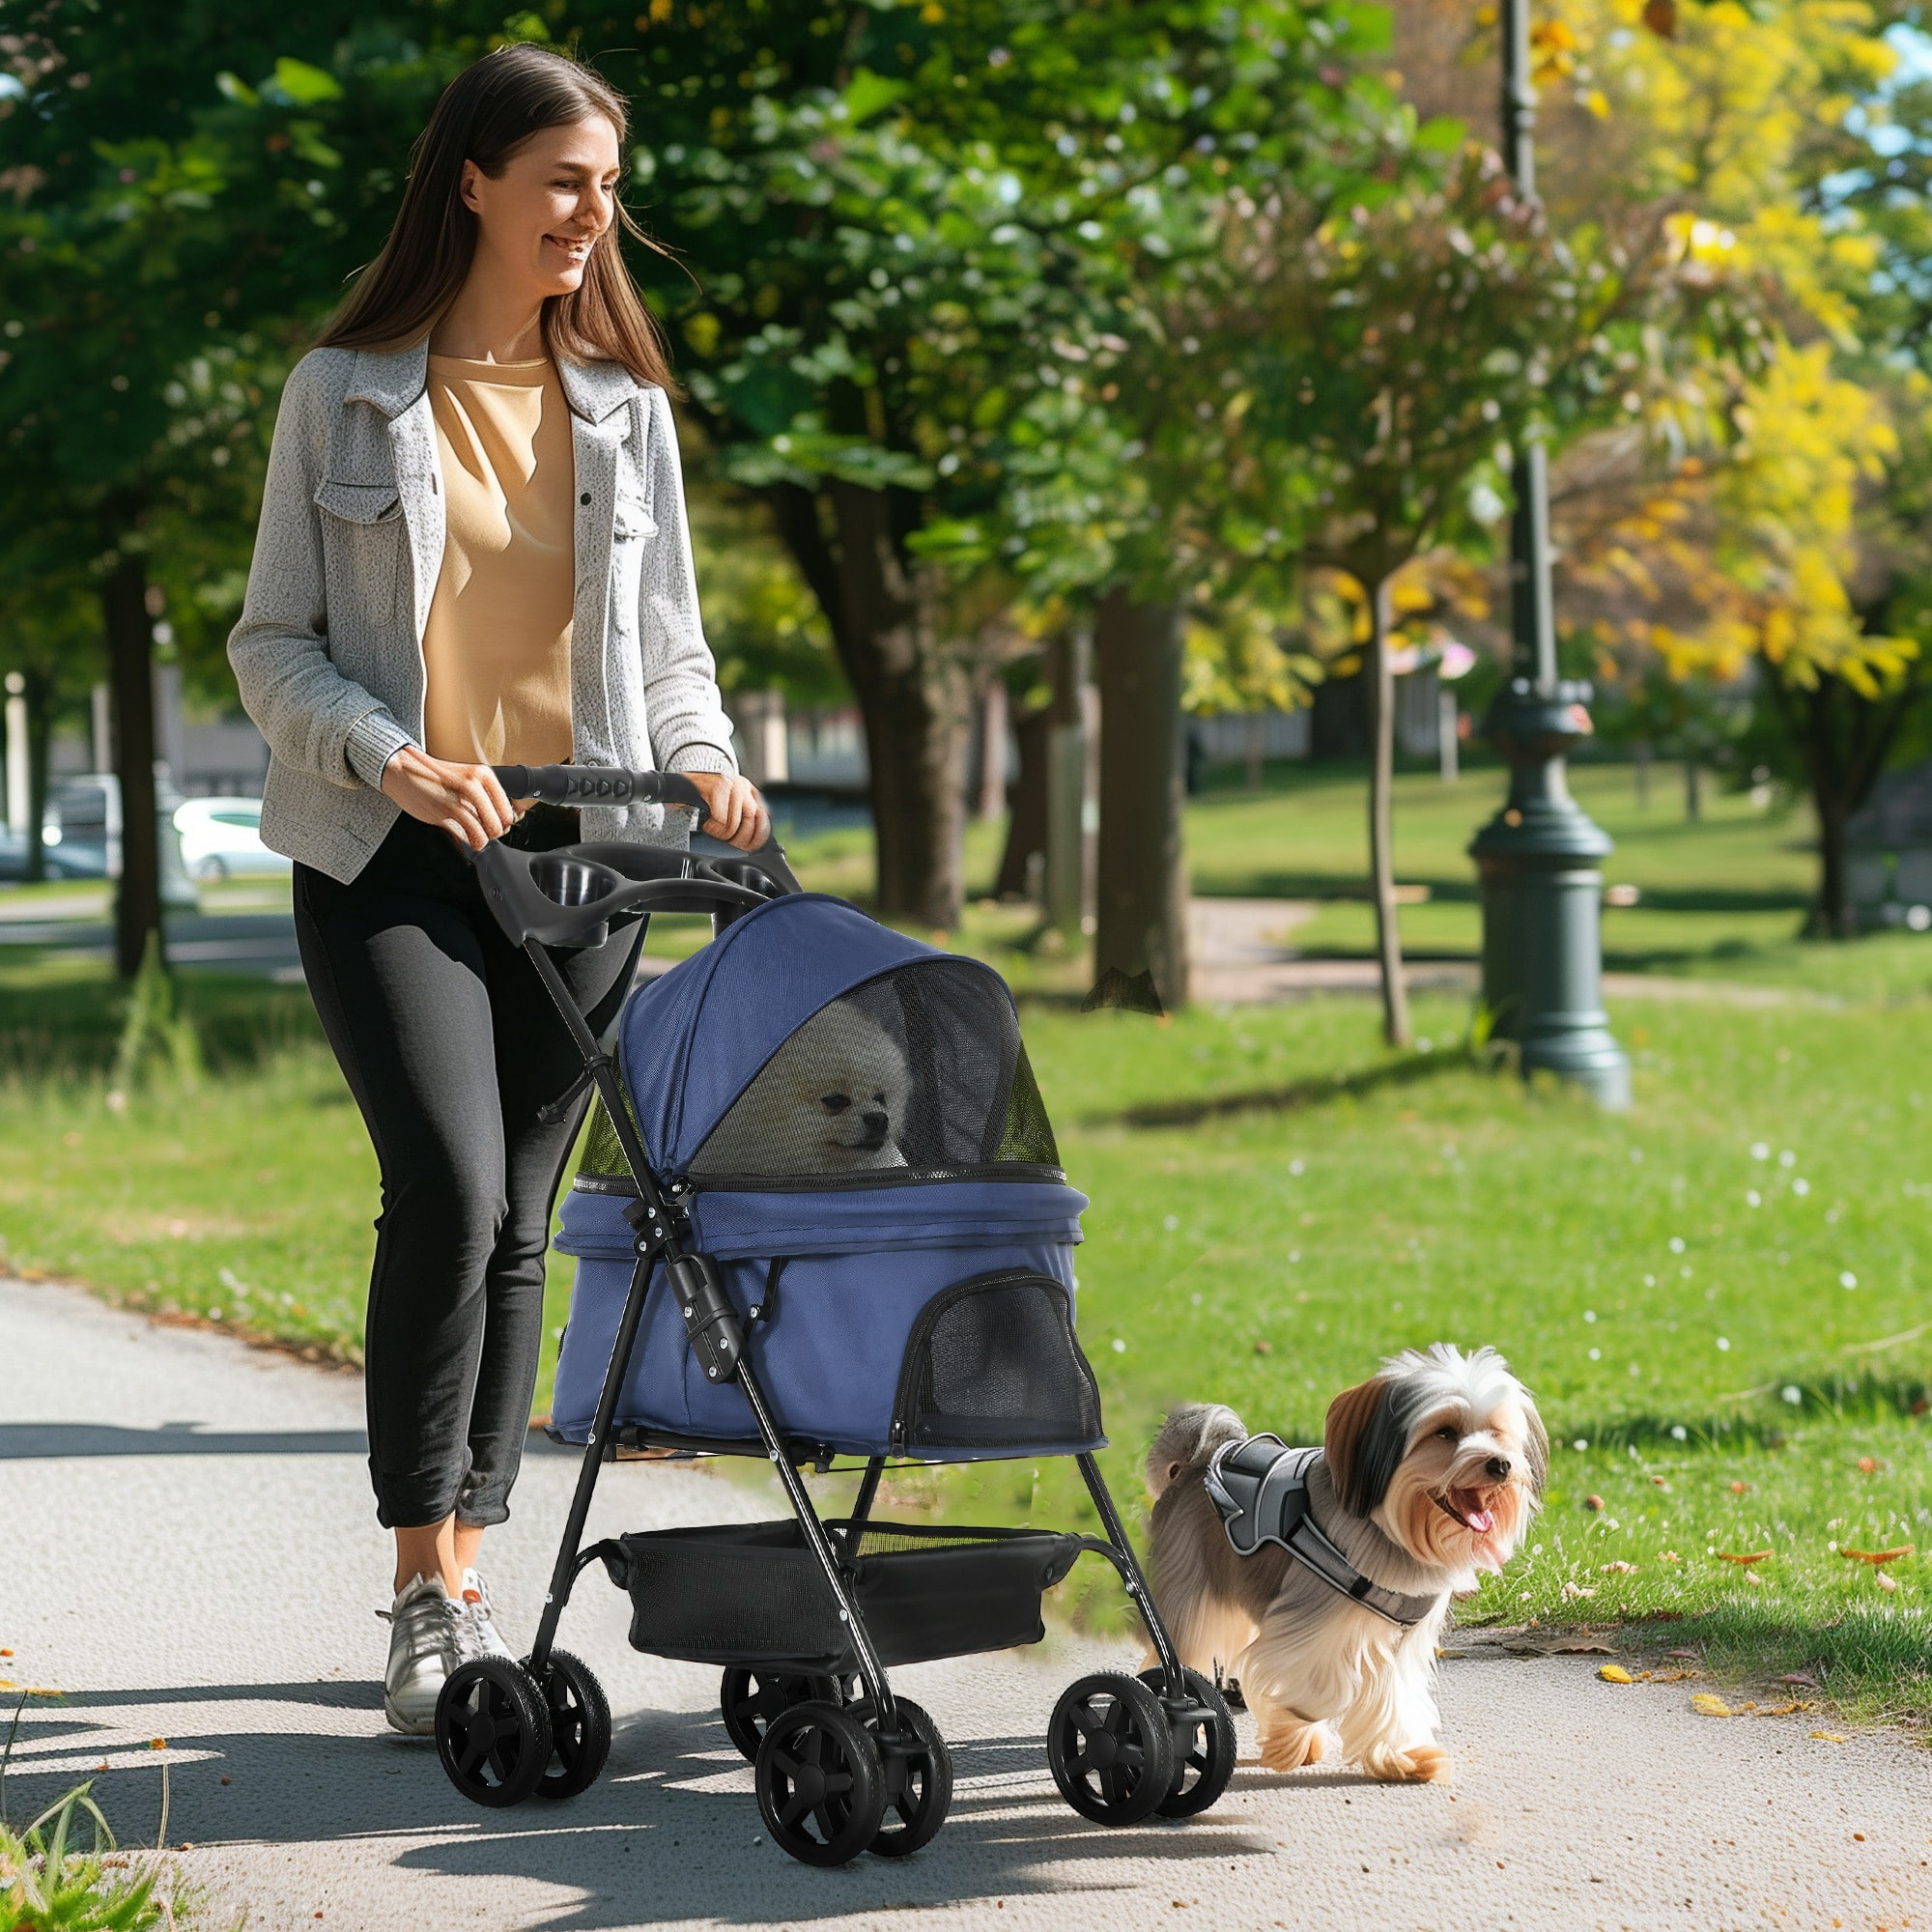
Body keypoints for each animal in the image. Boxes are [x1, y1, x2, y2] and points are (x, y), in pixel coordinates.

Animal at [1144, 1345, 1538, 1777]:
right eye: (1445, 1432)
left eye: (1497, 1431)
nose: (1501, 1464)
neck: (1392, 1530)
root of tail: (1195, 1465)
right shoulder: (1304, 1627)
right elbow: (1317, 1690)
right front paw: (1290, 1735)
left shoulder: (1398, 1644)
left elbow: (1392, 1697)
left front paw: (1400, 1755)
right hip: (1192, 1605)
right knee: (1175, 1659)